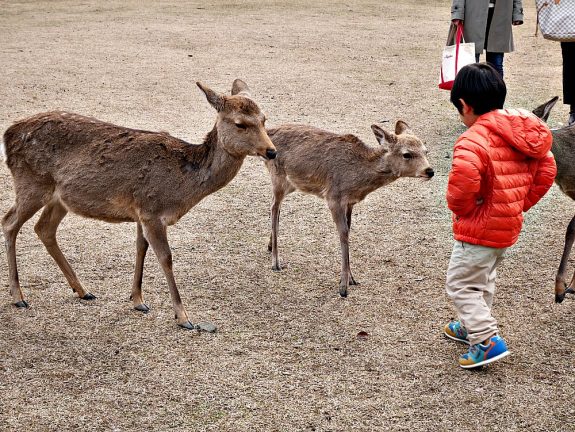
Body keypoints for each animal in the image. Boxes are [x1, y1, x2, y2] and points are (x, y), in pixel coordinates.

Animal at [0, 79, 280, 330]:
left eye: (264, 119)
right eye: (240, 123)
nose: (272, 151)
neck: (182, 187)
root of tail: (7, 135)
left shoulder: (141, 212)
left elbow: (140, 249)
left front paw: (137, 300)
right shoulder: (152, 210)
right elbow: (166, 257)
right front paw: (184, 317)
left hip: (60, 198)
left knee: (44, 228)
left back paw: (82, 290)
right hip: (32, 183)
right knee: (9, 222)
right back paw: (19, 297)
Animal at [264, 120, 434, 296]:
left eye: (425, 151)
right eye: (407, 154)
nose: (430, 171)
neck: (357, 181)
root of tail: (268, 131)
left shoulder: (350, 203)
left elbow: (349, 230)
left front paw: (351, 279)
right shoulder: (333, 197)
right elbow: (343, 234)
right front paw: (344, 286)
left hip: (293, 183)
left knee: (277, 206)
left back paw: (269, 246)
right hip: (278, 176)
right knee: (273, 206)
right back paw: (276, 262)